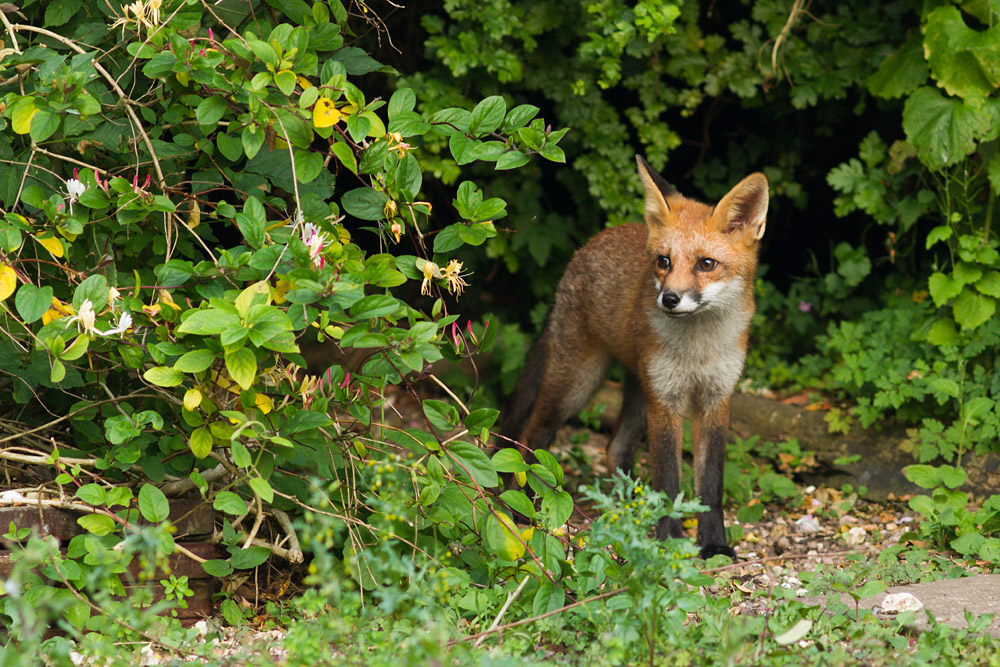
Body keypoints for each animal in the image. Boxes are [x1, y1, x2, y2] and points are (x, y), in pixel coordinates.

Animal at [502, 156, 769, 559]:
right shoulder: (666, 401)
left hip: (638, 390)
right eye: (663, 261)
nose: (669, 299)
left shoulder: (715, 398)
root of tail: (589, 246)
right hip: (578, 384)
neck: (698, 350)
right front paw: (671, 543)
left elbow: (711, 485)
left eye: (706, 264)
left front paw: (713, 545)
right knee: (531, 435)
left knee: (614, 448)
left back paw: (627, 514)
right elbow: (669, 482)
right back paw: (527, 507)